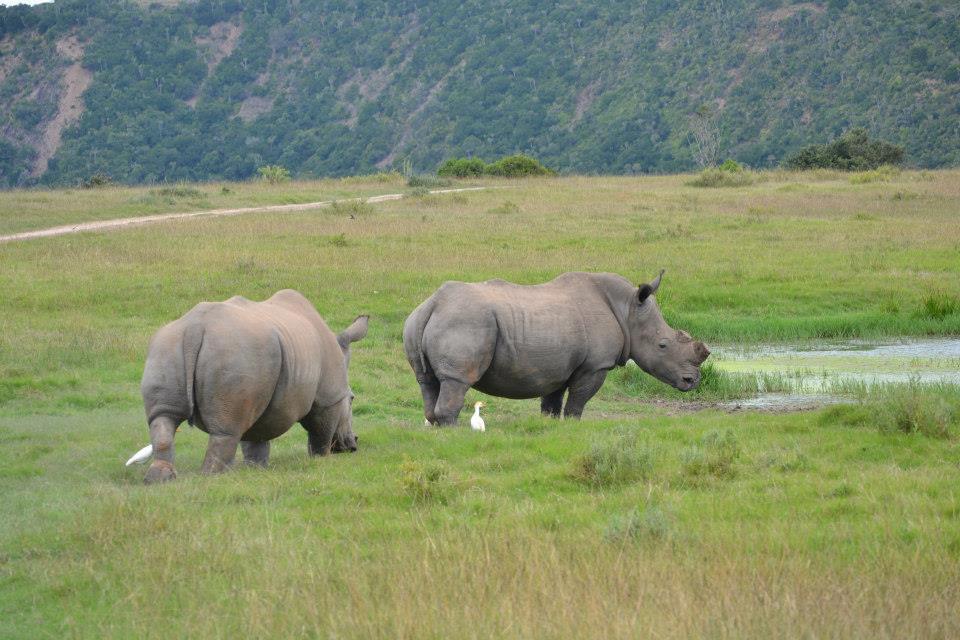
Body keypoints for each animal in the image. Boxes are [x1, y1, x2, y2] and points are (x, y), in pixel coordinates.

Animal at [139, 288, 368, 482]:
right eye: (352, 398)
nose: (352, 444)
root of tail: (196, 328)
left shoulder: (260, 394)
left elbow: (255, 438)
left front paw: (256, 469)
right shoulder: (329, 398)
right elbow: (321, 432)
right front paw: (321, 459)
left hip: (168, 346)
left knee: (164, 416)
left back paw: (160, 479)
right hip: (236, 353)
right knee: (226, 430)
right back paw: (214, 477)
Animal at [402, 272, 708, 424]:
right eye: (663, 345)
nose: (691, 381)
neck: (628, 309)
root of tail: (433, 304)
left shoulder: (556, 367)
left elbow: (551, 402)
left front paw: (549, 426)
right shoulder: (595, 366)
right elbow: (577, 403)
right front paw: (573, 427)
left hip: (417, 322)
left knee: (427, 381)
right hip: (465, 322)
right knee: (456, 380)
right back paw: (453, 431)